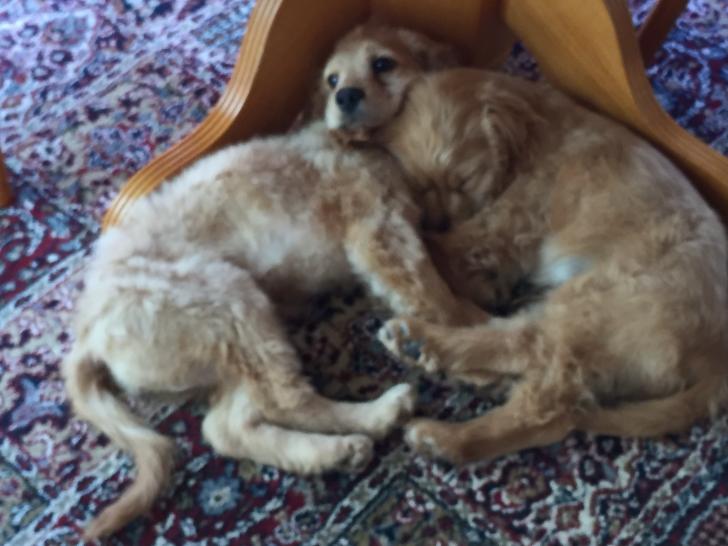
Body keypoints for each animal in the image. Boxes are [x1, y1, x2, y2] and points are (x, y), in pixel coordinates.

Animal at [62, 29, 485, 538]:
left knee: (229, 427)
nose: (346, 96)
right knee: (287, 399)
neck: (366, 146)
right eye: (332, 79)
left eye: (383, 63)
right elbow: (435, 296)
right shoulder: (380, 232)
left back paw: (333, 452)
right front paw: (475, 341)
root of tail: (88, 333)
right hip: (229, 301)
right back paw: (378, 414)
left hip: (231, 346)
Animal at [323, 24, 728, 464]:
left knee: (541, 387)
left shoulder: (499, 227)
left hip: (600, 301)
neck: (533, 135)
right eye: (419, 184)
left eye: (464, 180)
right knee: (525, 360)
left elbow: (438, 247)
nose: (438, 219)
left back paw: (435, 399)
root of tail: (717, 362)